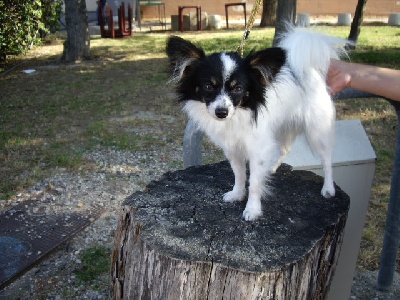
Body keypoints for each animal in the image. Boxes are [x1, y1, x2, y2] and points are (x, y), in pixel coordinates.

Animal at [166, 27, 346, 220]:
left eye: (238, 89)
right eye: (208, 86)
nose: (221, 112)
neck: (238, 115)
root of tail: (308, 70)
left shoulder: (258, 148)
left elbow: (254, 182)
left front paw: (252, 209)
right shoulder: (233, 148)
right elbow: (239, 174)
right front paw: (237, 194)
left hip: (317, 131)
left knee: (327, 159)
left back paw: (328, 188)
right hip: (281, 129)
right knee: (284, 149)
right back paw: (271, 168)